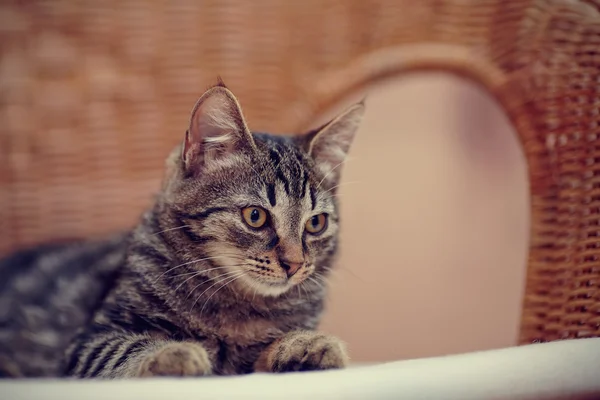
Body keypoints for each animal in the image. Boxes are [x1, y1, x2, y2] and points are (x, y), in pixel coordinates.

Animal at [0, 82, 366, 378]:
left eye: (315, 223)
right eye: (255, 216)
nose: (294, 263)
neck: (237, 303)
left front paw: (307, 343)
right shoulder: (88, 341)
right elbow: (126, 350)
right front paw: (173, 352)